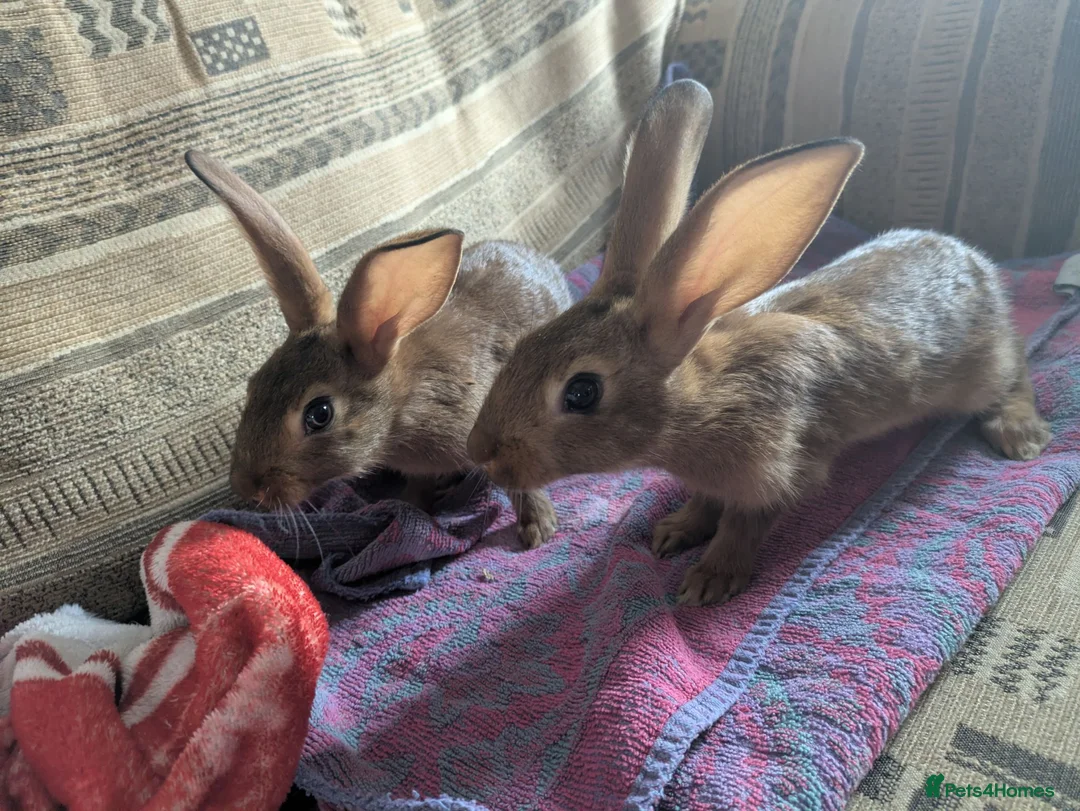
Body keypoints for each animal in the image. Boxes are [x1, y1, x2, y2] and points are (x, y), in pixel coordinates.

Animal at [186, 150, 573, 549]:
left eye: (319, 414)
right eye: (254, 386)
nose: (245, 486)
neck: (401, 407)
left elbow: (519, 478)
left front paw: (538, 528)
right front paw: (412, 505)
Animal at [466, 79, 1051, 605]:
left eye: (582, 392)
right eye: (522, 345)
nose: (479, 452)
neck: (702, 398)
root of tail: (975, 264)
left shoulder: (776, 472)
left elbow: (743, 524)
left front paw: (710, 579)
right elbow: (706, 503)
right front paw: (676, 529)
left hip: (980, 371)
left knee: (1016, 372)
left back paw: (1020, 434)